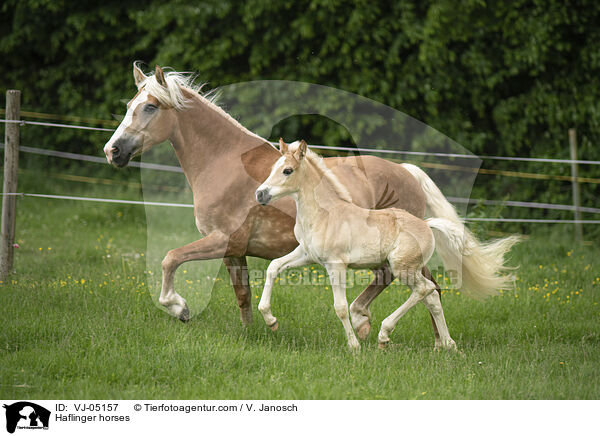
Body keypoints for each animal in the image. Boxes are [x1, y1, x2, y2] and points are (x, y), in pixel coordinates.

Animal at [255, 140, 462, 350]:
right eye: (272, 168)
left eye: (287, 170)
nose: (260, 194)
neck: (323, 214)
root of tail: (426, 224)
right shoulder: (307, 255)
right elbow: (273, 267)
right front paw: (270, 319)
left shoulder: (335, 264)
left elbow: (340, 307)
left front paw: (354, 346)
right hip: (411, 269)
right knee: (432, 296)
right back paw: (448, 344)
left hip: (403, 268)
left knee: (425, 289)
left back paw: (384, 334)